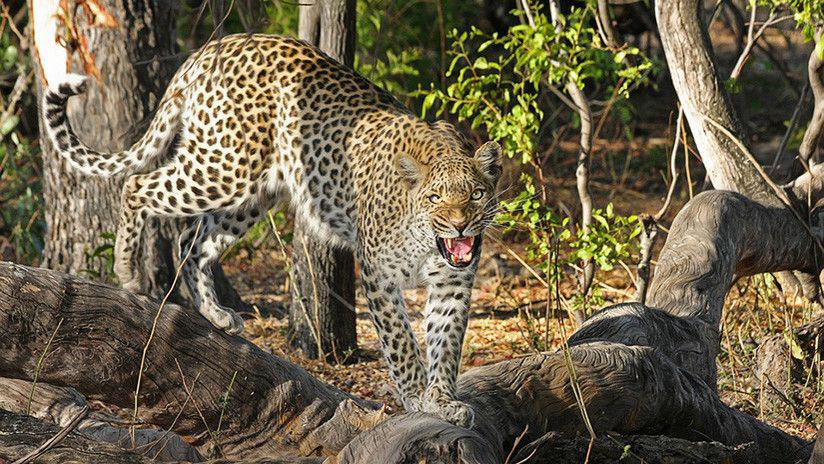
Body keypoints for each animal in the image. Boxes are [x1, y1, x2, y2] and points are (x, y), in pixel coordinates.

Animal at [43, 32, 502, 426]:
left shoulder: (452, 283)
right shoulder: (378, 274)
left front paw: (443, 401)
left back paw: (216, 314)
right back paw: (129, 272)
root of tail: (211, 48)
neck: (428, 240)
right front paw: (418, 397)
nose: (460, 224)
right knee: (137, 185)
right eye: (435, 198)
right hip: (224, 166)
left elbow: (446, 343)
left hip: (253, 194)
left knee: (192, 241)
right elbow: (402, 343)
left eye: (477, 194)